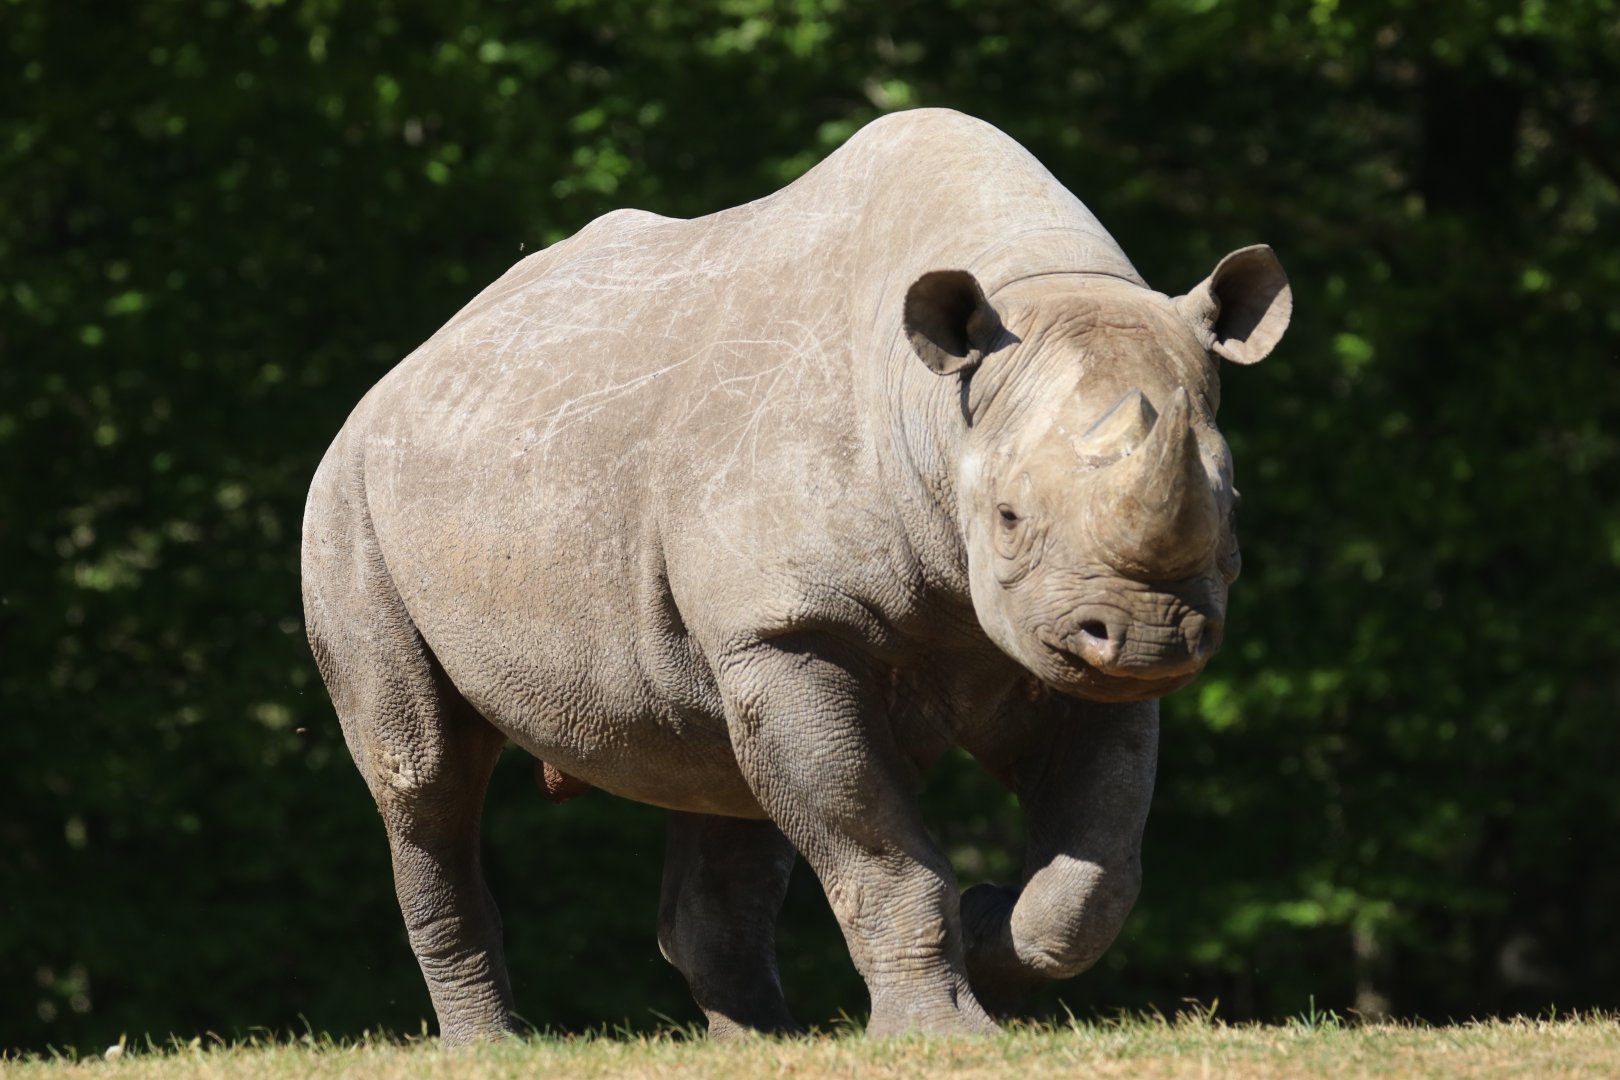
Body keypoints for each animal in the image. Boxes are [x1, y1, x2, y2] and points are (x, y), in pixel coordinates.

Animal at [301, 108, 1290, 1040]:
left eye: (1235, 510)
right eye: (1008, 519)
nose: (1154, 637)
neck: (938, 403)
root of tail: (405, 368)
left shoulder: (1054, 640)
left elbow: (1094, 875)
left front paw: (989, 936)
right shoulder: (788, 623)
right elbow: (874, 844)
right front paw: (940, 1029)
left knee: (717, 771)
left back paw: (763, 1043)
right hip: (348, 497)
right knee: (423, 776)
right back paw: (494, 1048)